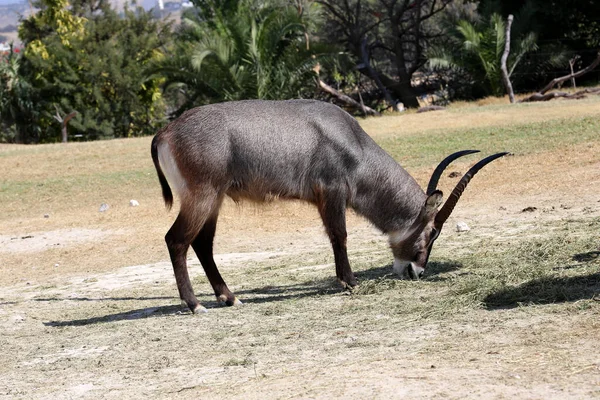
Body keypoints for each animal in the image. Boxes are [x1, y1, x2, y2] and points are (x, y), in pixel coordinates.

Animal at [151, 99, 506, 312]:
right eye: (432, 233)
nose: (416, 271)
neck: (351, 140)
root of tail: (165, 133)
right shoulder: (332, 192)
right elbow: (340, 236)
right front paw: (350, 282)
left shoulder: (324, 198)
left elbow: (335, 237)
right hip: (203, 196)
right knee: (176, 240)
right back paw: (195, 304)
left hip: (214, 200)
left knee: (202, 244)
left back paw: (229, 297)